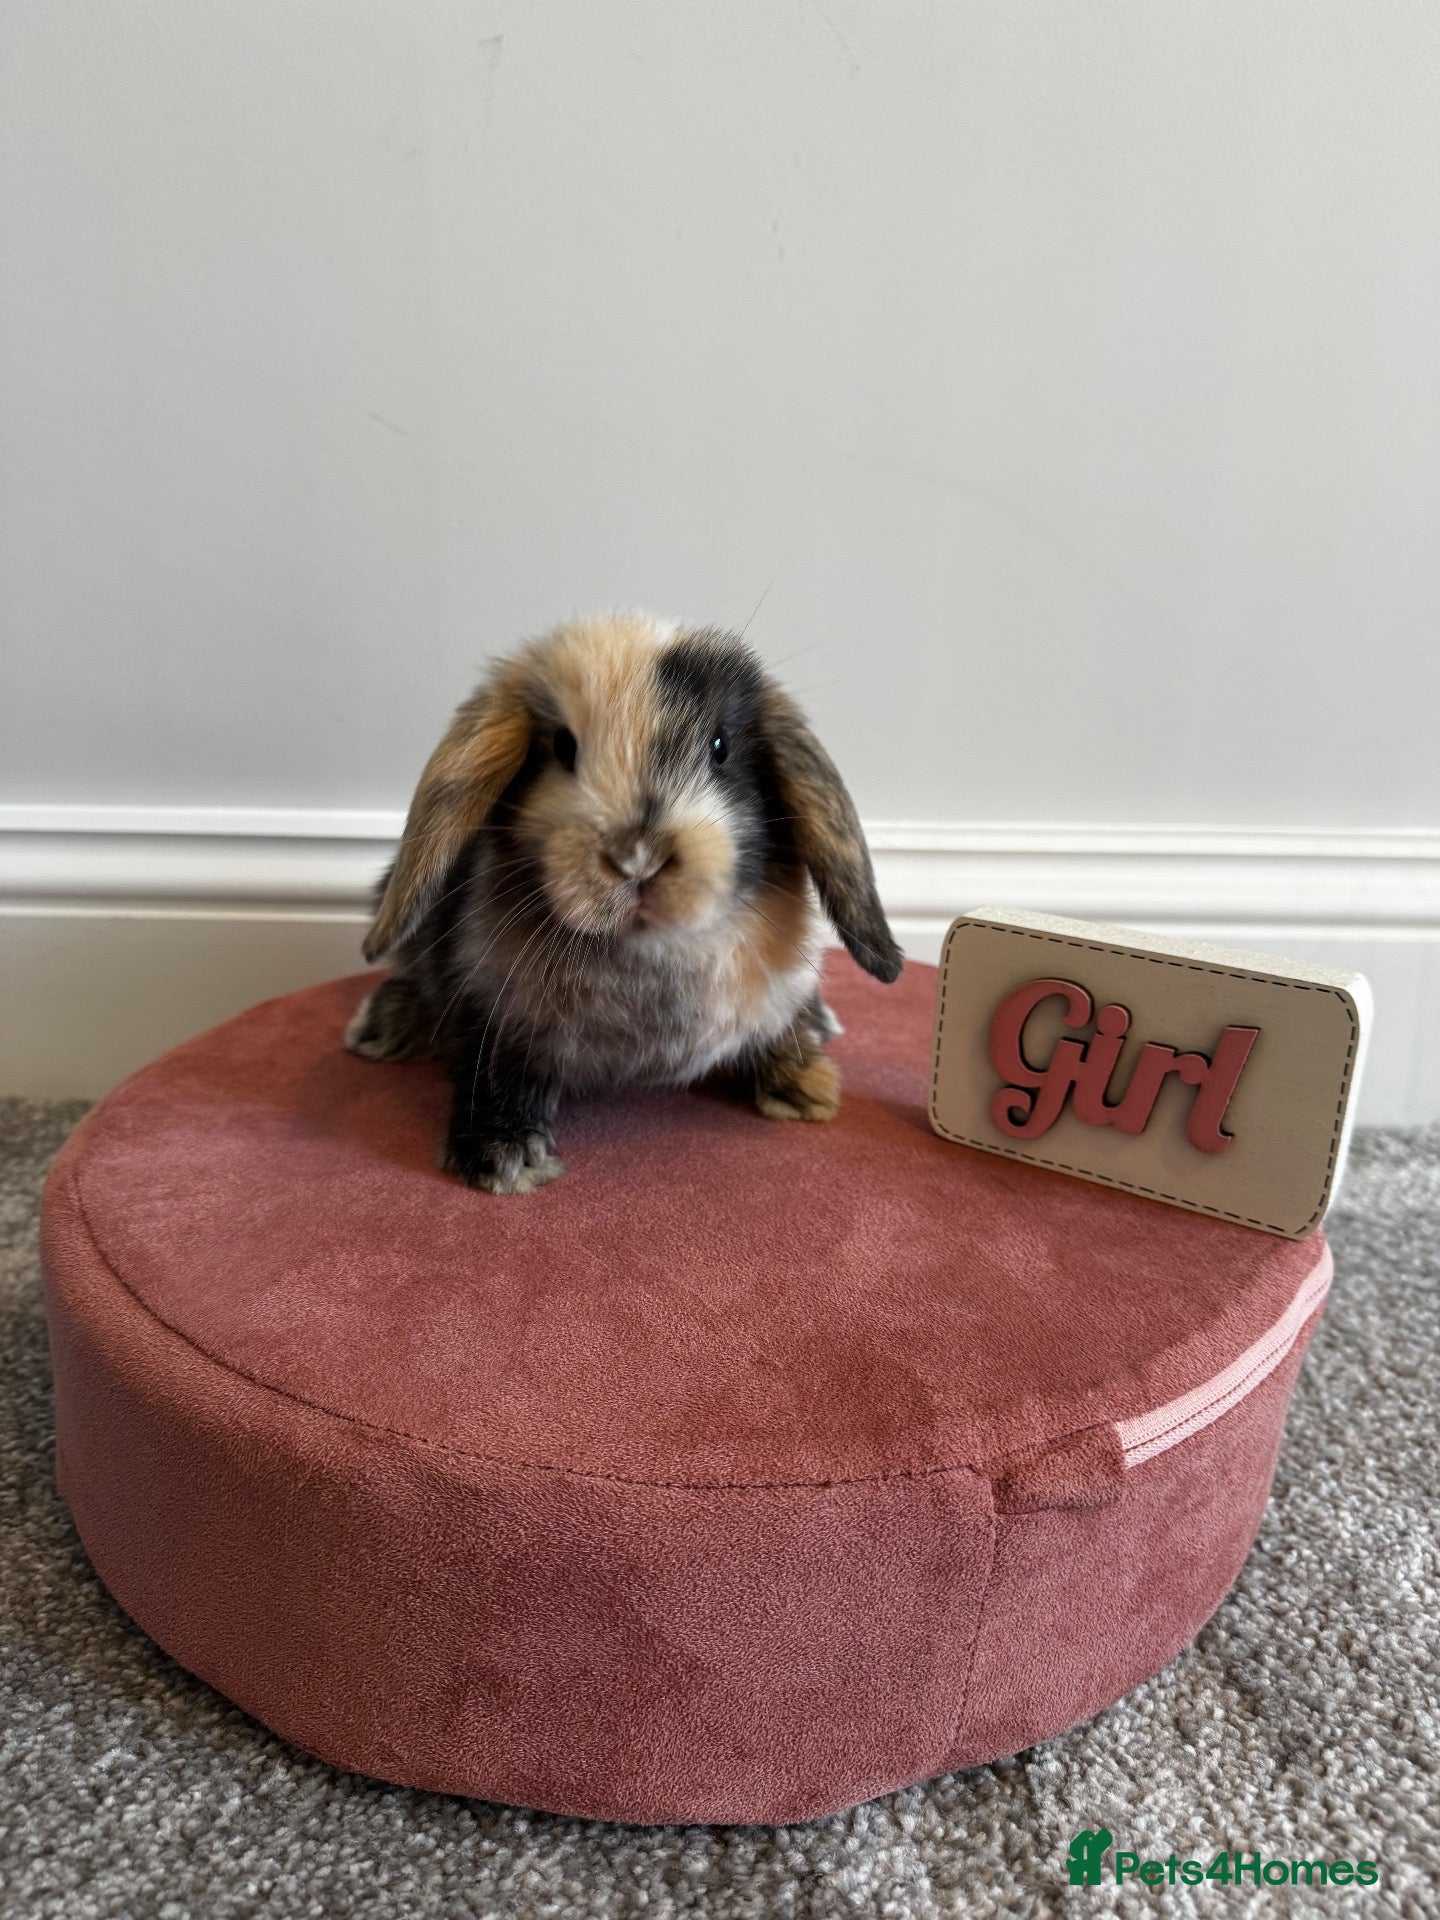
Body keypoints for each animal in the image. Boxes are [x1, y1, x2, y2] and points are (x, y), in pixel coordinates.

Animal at [346, 613, 903, 1192]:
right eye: (562, 746)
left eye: (720, 747)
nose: (638, 857)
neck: (647, 954)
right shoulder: (491, 1008)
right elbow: (495, 1070)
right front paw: (503, 1156)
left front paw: (803, 1088)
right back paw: (384, 1026)